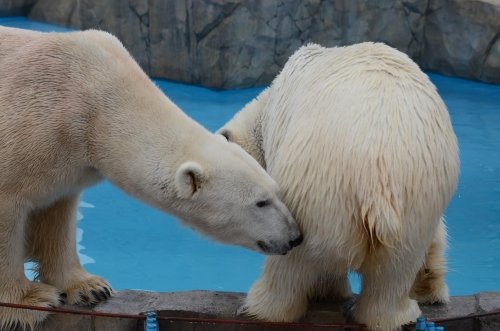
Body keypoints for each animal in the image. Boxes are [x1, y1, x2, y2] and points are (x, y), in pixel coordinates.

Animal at [0, 26, 302, 330]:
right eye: (260, 202)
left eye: (276, 192)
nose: (295, 237)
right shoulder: (33, 126)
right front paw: (27, 303)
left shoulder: (65, 157)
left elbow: (57, 214)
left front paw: (90, 287)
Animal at [219, 42, 460, 331]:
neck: (266, 111)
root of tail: (379, 177)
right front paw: (430, 287)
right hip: (416, 196)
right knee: (395, 269)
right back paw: (397, 314)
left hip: (317, 189)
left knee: (296, 258)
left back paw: (257, 307)